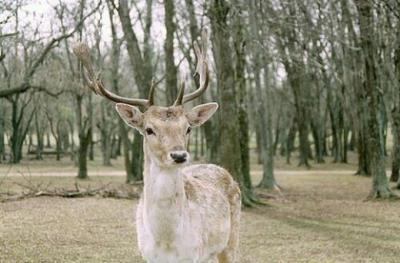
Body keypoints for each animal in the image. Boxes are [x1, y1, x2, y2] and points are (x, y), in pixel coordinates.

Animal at [73, 29, 241, 262]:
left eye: (188, 128)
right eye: (149, 129)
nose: (179, 155)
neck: (166, 240)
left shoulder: (194, 255)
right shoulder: (148, 255)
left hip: (230, 241)